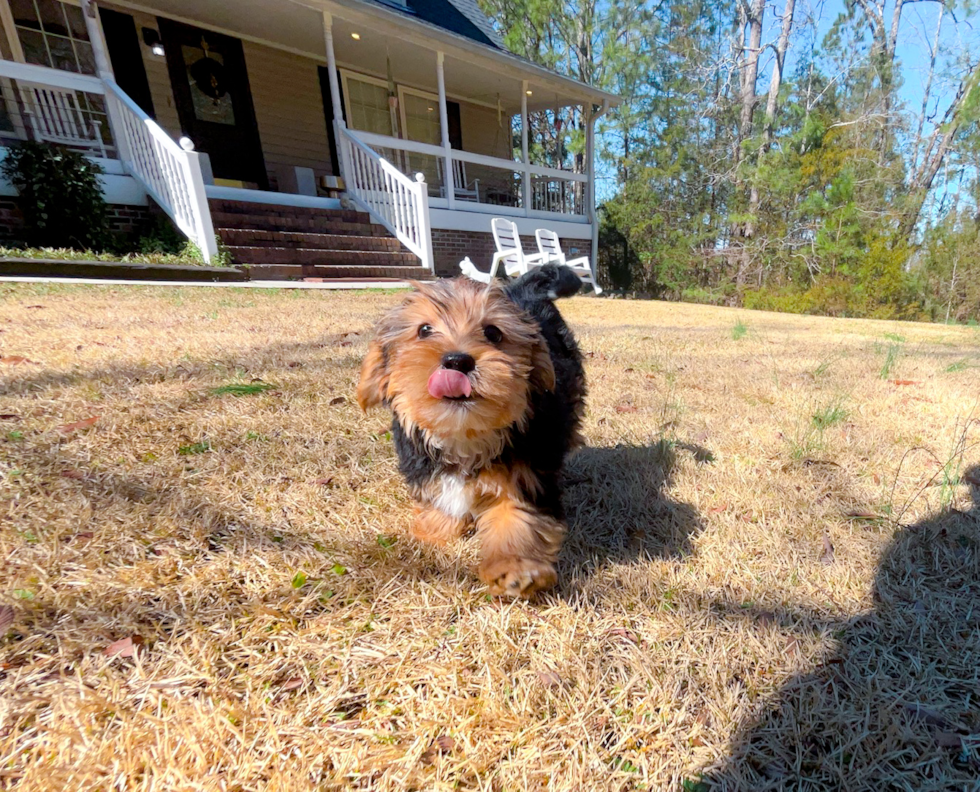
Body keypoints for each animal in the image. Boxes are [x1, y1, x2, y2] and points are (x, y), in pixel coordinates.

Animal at [358, 262, 580, 596]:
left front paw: (515, 568)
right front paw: (435, 530)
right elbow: (440, 500)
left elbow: (519, 515)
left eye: (493, 333)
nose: (457, 360)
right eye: (424, 330)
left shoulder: (526, 472)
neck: (465, 434)